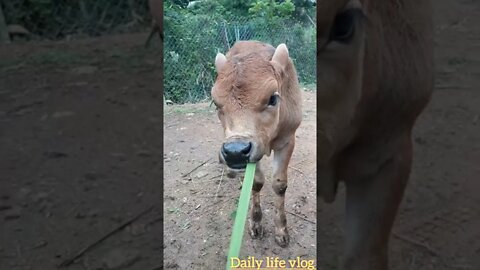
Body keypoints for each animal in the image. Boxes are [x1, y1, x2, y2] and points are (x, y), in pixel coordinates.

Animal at [212, 39, 302, 247]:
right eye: (216, 104)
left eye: (273, 98)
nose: (235, 152)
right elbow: (256, 183)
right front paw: (255, 223)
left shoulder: (288, 140)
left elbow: (279, 185)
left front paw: (281, 230)